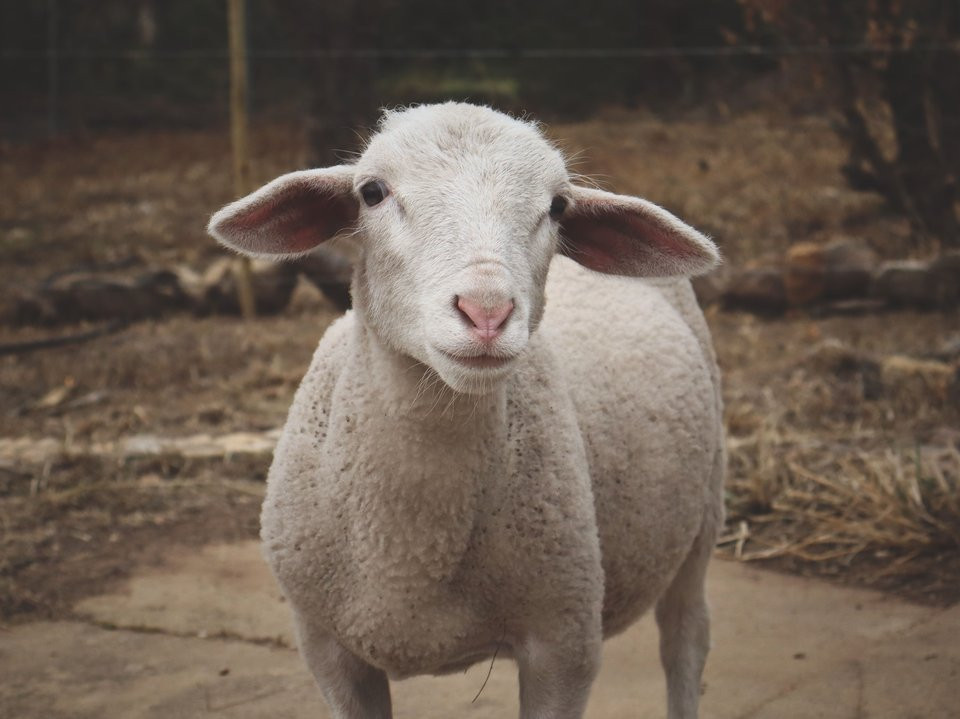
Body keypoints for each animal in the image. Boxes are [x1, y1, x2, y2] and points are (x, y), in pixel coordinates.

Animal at [208, 102, 724, 719]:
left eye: (558, 207)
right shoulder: (327, 648)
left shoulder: (565, 641)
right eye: (372, 192)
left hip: (704, 514)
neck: (408, 554)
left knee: (685, 641)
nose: (486, 312)